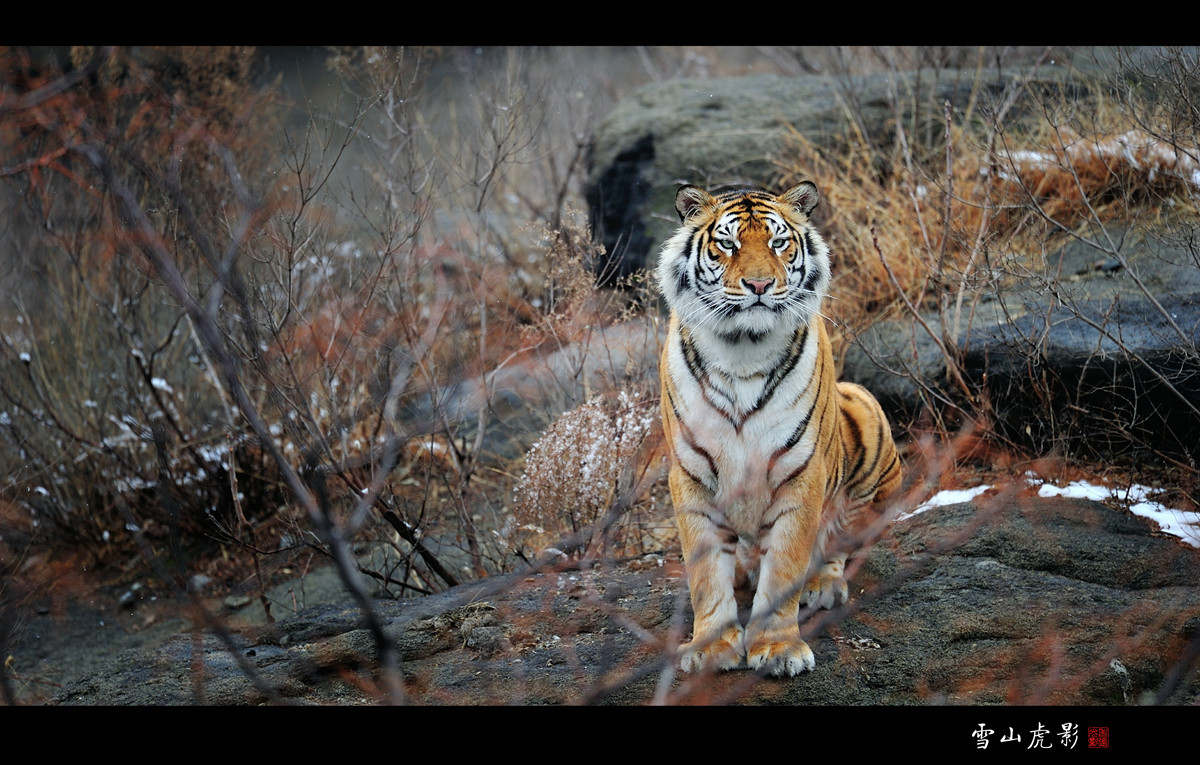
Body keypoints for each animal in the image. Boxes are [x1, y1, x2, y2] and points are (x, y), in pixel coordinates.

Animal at [657, 182, 902, 681]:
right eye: (728, 244)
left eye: (777, 242)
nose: (759, 286)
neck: (741, 351)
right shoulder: (690, 475)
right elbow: (705, 574)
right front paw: (712, 648)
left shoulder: (800, 472)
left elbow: (786, 565)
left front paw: (777, 649)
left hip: (865, 410)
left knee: (839, 542)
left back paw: (822, 586)